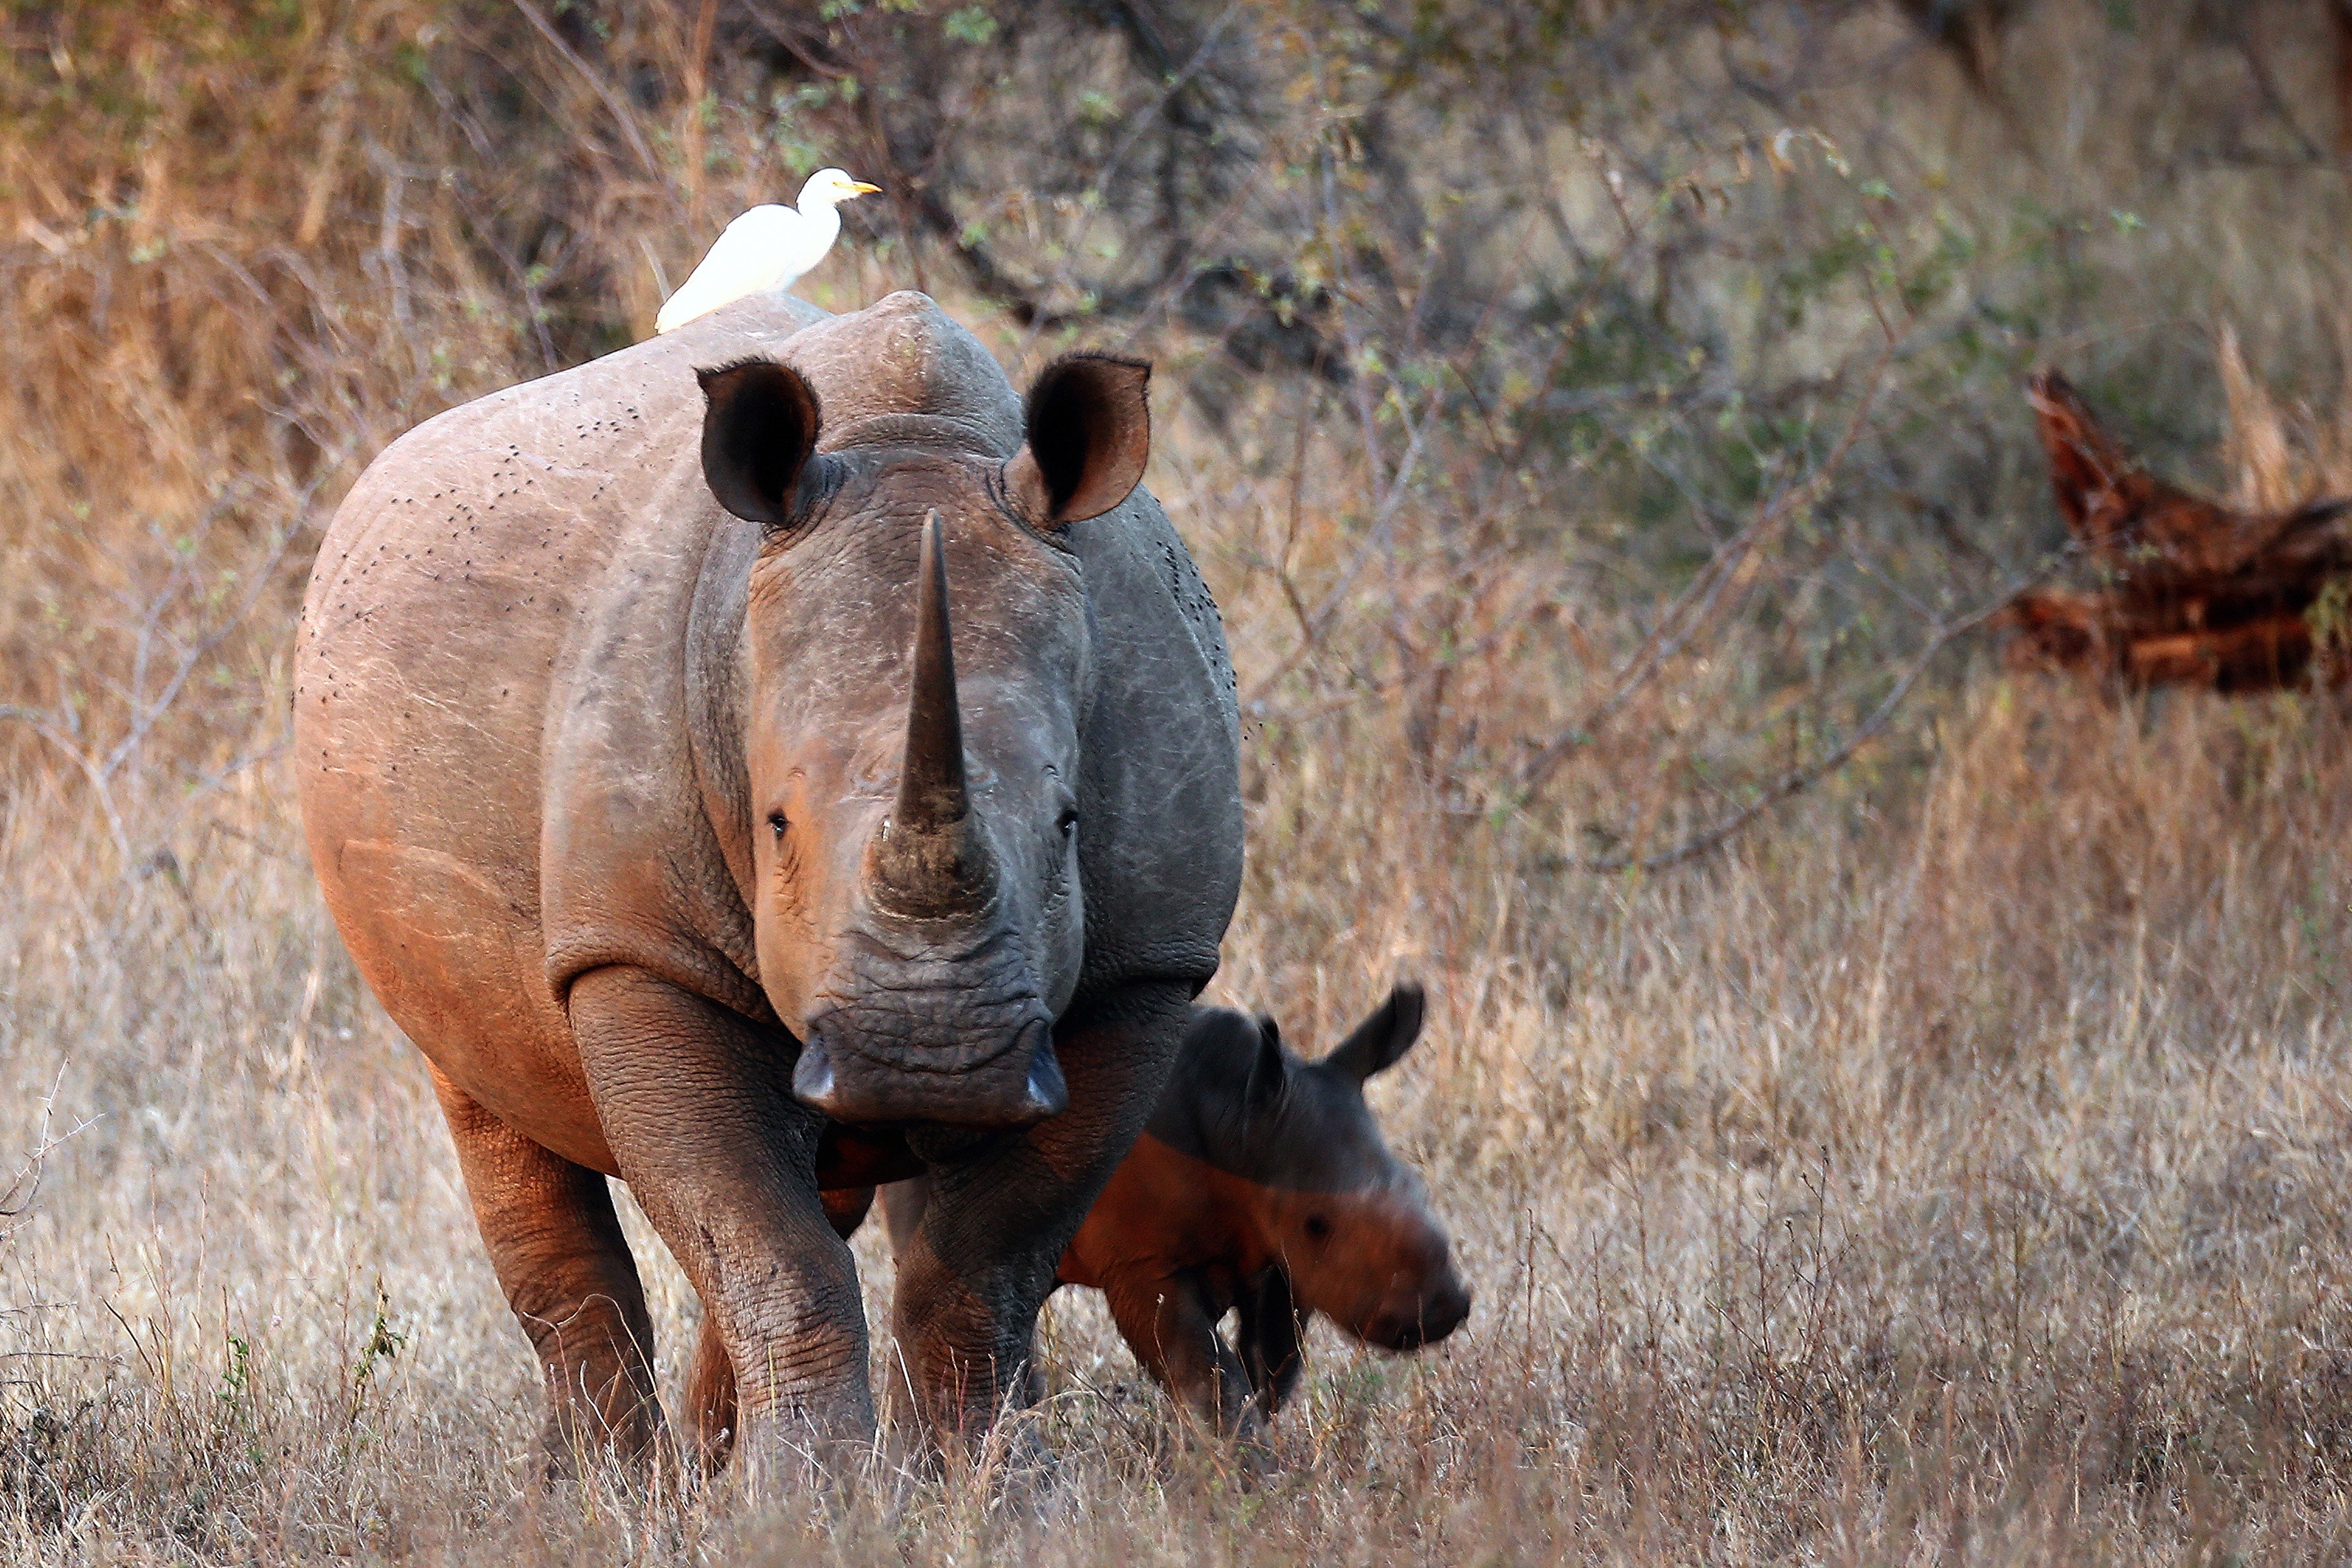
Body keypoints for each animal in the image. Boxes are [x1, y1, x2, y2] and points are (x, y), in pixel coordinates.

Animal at [293, 291, 1242, 1476]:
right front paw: (808, 1494)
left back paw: (699, 1470)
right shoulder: (640, 952)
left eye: (1069, 823)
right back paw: (606, 1486)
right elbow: (769, 1246)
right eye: (776, 823)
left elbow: (979, 1266)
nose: (930, 1060)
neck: (910, 443)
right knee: (492, 1105)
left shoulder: (1145, 966)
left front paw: (989, 1488)